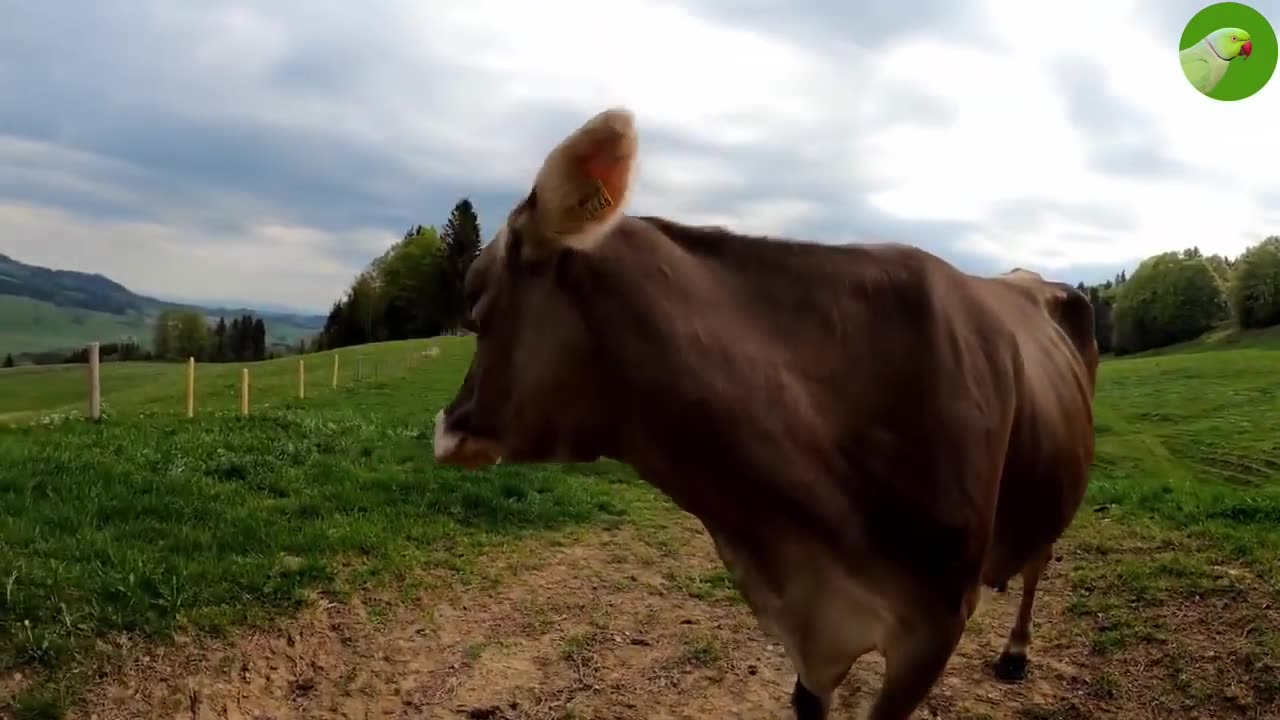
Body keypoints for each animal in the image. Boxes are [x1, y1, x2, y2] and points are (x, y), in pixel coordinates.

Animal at [435, 107, 1095, 717]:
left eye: (473, 298)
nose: (445, 427)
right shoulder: (812, 632)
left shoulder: (934, 627)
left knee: (1040, 559)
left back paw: (1016, 652)